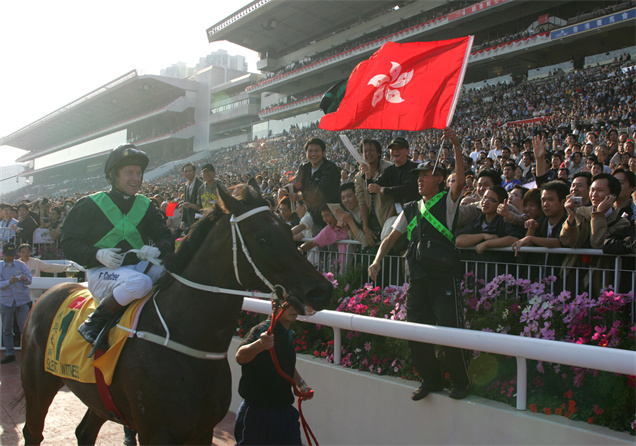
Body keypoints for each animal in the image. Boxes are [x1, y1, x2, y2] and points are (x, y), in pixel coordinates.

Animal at [19, 186, 332, 446]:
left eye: (289, 230)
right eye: (262, 238)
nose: (322, 290)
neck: (186, 336)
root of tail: (51, 291)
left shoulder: (203, 431)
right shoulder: (155, 433)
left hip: (99, 396)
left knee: (84, 432)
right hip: (37, 383)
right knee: (33, 432)